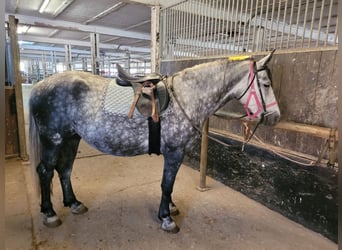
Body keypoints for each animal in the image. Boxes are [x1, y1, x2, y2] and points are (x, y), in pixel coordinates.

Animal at [29, 50, 280, 232]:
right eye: (266, 84)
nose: (275, 117)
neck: (187, 97)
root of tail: (39, 86)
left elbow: (170, 185)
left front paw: (170, 208)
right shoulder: (174, 152)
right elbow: (166, 184)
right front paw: (166, 218)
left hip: (71, 138)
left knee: (64, 169)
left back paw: (74, 203)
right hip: (53, 139)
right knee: (45, 171)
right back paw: (50, 214)